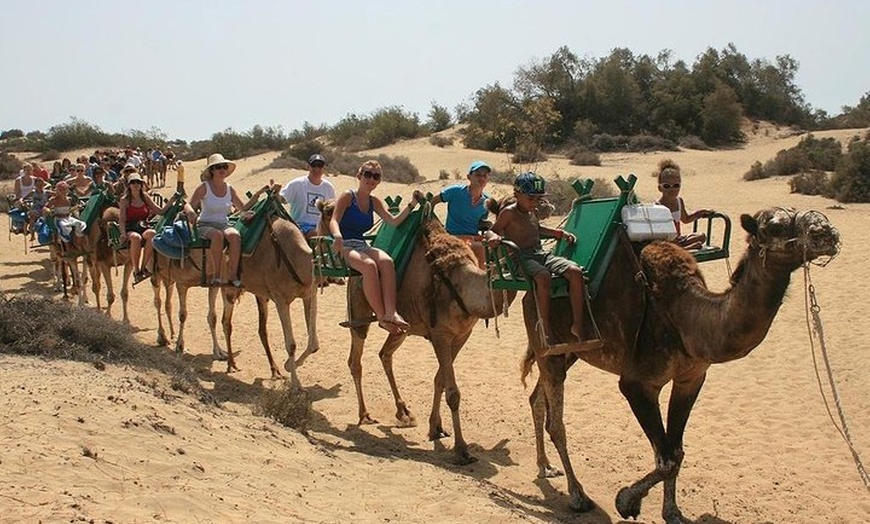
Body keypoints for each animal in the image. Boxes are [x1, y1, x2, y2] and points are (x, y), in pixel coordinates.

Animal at [344, 215, 516, 464]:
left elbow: (440, 380)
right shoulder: (440, 335)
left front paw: (436, 428)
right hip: (359, 307)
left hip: (402, 327)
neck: (462, 285)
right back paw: (365, 414)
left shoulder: (462, 335)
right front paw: (462, 449)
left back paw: (404, 412)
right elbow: (453, 392)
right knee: (355, 360)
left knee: (385, 354)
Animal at [520, 207, 840, 520]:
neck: (687, 318)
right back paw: (577, 495)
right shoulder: (638, 384)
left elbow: (675, 452)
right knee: (556, 423)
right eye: (774, 226)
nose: (826, 232)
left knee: (536, 398)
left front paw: (671, 511)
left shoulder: (691, 378)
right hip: (546, 344)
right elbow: (665, 459)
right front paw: (626, 501)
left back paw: (545, 466)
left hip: (570, 351)